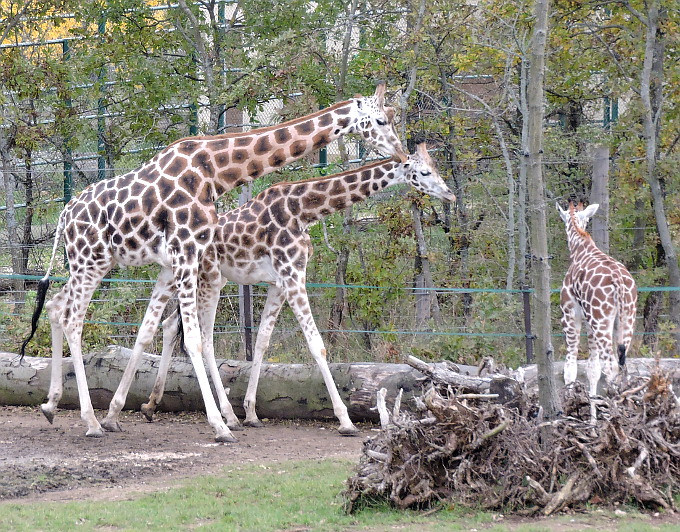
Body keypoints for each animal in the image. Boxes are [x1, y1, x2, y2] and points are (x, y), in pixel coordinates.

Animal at [21, 83, 406, 440]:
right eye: (381, 120)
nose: (401, 153)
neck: (215, 172)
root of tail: (64, 214)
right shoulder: (186, 250)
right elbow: (193, 340)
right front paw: (220, 426)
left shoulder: (181, 258)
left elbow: (169, 333)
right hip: (91, 261)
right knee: (73, 319)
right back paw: (90, 421)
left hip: (90, 262)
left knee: (56, 306)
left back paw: (52, 405)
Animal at [128, 142, 456, 436]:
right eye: (425, 171)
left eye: (436, 167)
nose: (450, 193)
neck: (304, 210)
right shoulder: (293, 274)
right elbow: (317, 344)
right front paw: (345, 420)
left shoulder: (280, 283)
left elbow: (262, 340)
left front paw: (251, 412)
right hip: (208, 280)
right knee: (198, 336)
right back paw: (222, 417)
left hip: (200, 280)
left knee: (171, 325)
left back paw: (152, 405)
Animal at [556, 202, 636, 422]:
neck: (580, 249)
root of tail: (619, 281)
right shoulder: (588, 321)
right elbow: (592, 369)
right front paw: (592, 421)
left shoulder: (571, 314)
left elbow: (571, 366)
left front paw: (568, 412)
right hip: (626, 320)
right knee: (623, 365)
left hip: (601, 320)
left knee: (611, 366)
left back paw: (614, 417)